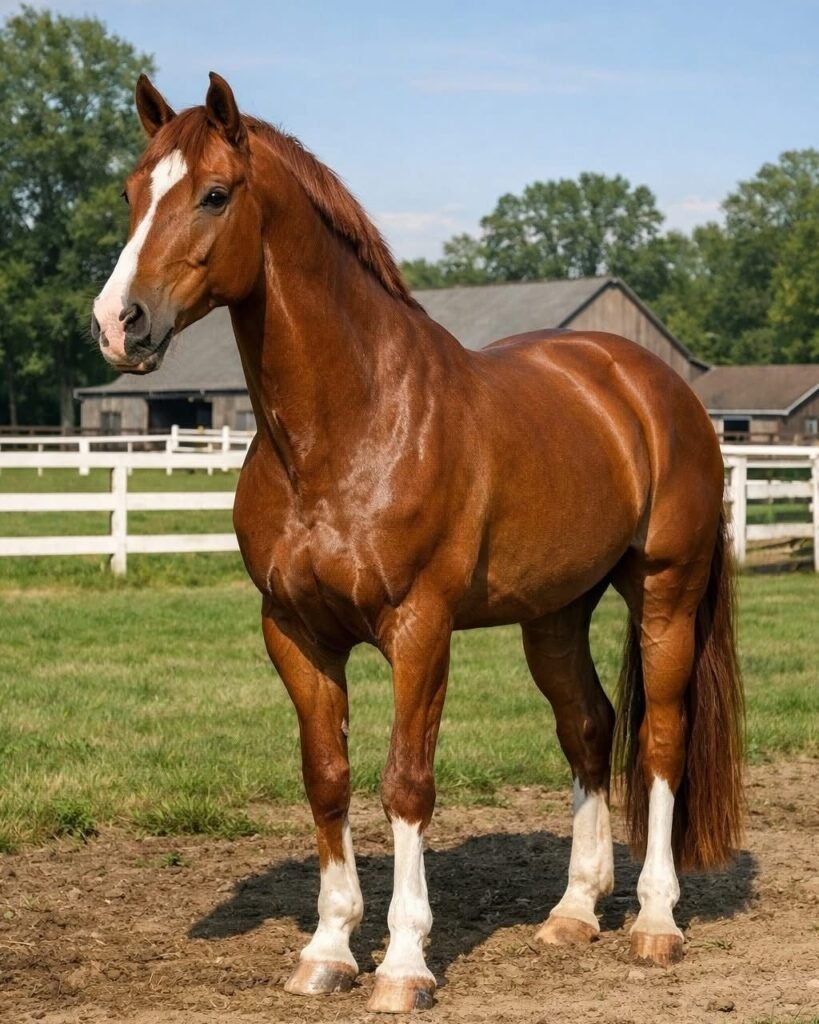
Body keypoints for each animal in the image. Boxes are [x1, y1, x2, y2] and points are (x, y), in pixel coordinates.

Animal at [91, 73, 744, 1014]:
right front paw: (326, 950)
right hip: (553, 614)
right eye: (133, 192)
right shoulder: (294, 634)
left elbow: (406, 783)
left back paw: (654, 921)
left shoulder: (418, 630)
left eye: (214, 194)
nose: (119, 323)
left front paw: (403, 965)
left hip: (664, 592)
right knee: (588, 728)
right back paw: (573, 911)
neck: (350, 424)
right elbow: (327, 775)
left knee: (658, 738)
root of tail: (649, 386)